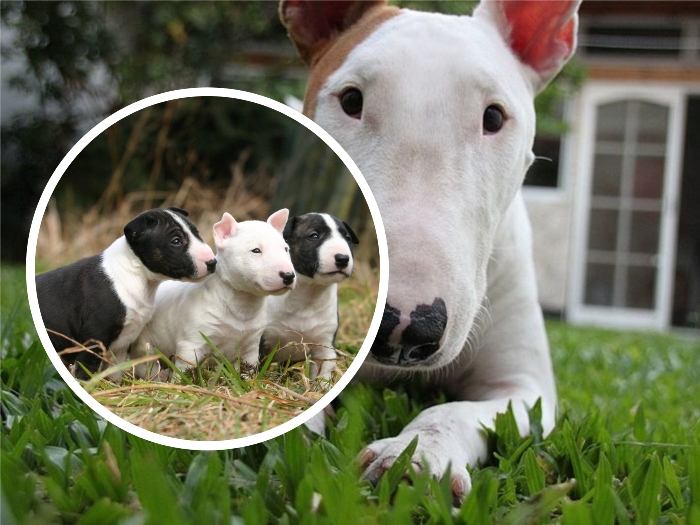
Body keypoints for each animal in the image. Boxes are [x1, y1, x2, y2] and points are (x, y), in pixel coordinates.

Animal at [34, 206, 216, 376]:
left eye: (197, 233)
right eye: (176, 241)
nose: (212, 262)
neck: (135, 273)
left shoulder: (120, 346)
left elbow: (115, 374)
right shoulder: (94, 339)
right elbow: (85, 371)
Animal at [129, 208, 296, 376]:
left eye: (286, 249)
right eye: (256, 250)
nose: (289, 276)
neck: (242, 304)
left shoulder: (251, 348)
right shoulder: (190, 344)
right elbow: (184, 371)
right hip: (145, 350)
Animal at [262, 211, 360, 382]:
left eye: (347, 238)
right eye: (314, 236)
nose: (343, 258)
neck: (309, 294)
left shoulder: (324, 346)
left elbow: (323, 376)